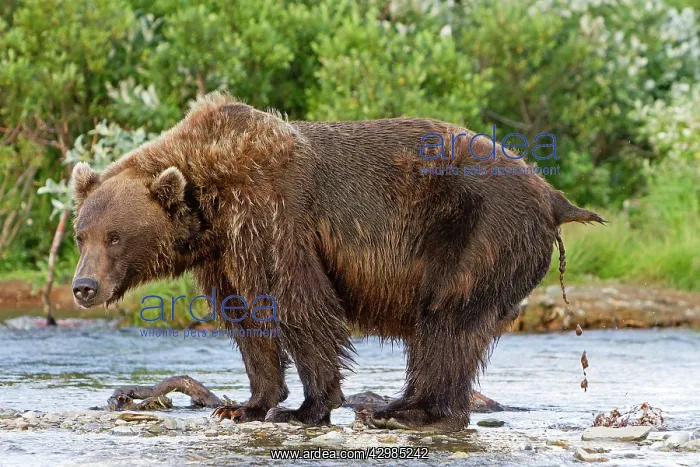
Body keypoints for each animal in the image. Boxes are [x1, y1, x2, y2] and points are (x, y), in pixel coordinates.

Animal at [70, 92, 603, 431]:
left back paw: (408, 409)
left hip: (476, 231)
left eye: (115, 237)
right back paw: (404, 404)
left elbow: (299, 302)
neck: (214, 199)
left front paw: (307, 407)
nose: (84, 286)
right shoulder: (225, 253)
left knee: (447, 319)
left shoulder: (275, 213)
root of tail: (551, 194)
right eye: (81, 235)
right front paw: (244, 405)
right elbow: (246, 318)